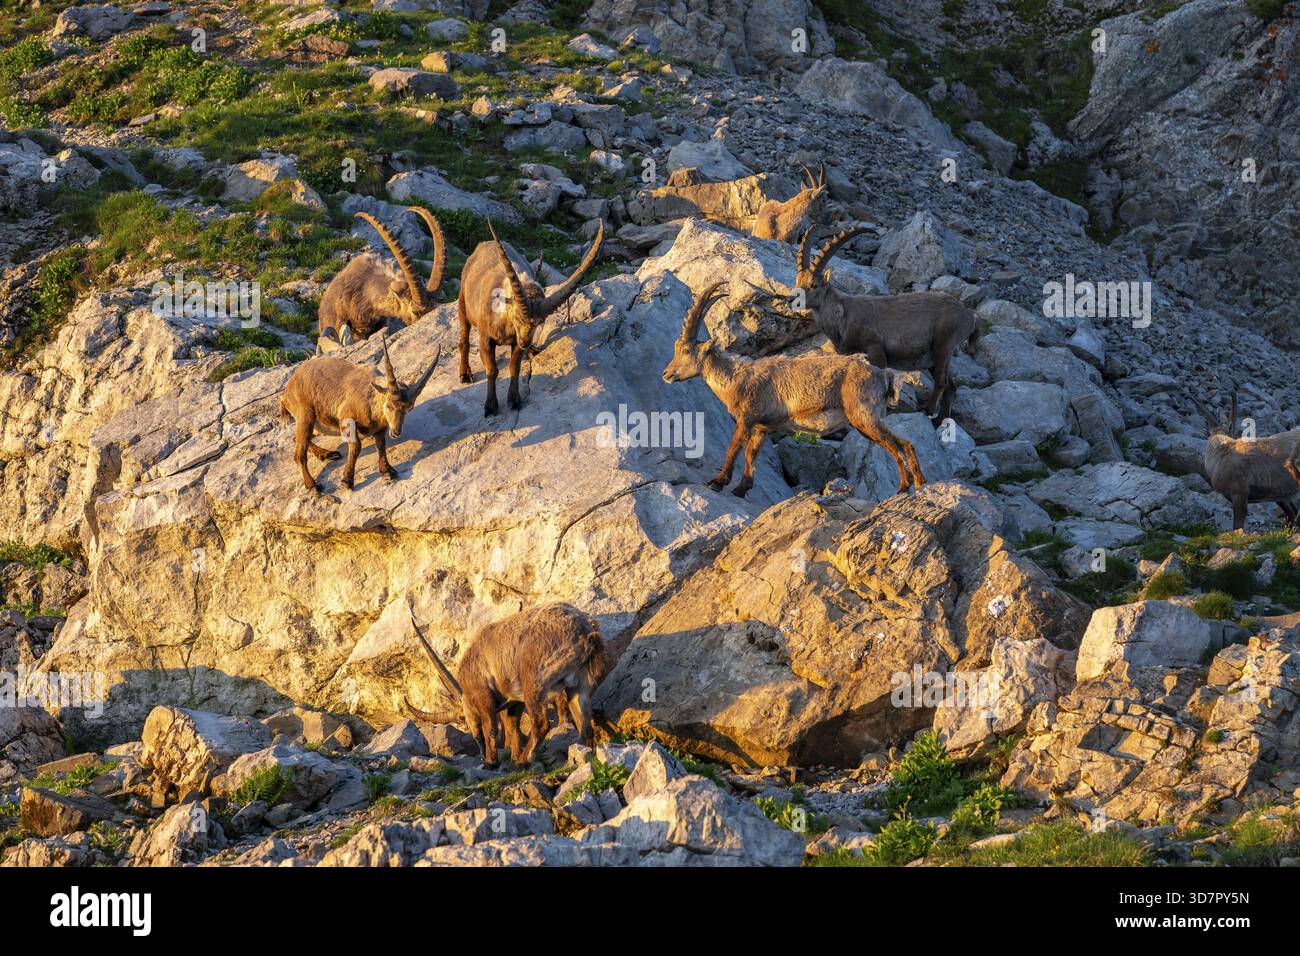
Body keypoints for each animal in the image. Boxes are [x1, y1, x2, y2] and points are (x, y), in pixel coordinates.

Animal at [279, 332, 441, 492]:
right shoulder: (346, 418)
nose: (396, 432)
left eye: (408, 409)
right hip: (306, 414)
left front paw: (387, 470)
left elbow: (381, 444)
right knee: (298, 454)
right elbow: (356, 447)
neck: (371, 401)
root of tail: (286, 392)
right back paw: (312, 485)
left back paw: (327, 454)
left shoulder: (381, 428)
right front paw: (346, 481)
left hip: (317, 426)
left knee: (297, 439)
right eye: (389, 406)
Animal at [404, 604, 605, 766]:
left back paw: (523, 761)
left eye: (462, 718)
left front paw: (491, 761)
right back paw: (582, 752)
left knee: (541, 723)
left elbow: (490, 729)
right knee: (584, 721)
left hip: (534, 682)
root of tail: (585, 632)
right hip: (579, 682)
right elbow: (512, 726)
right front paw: (512, 755)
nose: (481, 756)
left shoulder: (483, 696)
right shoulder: (514, 701)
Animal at [458, 220, 604, 416]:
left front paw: (514, 400)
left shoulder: (516, 342)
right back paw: (465, 374)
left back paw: (532, 350)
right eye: (517, 318)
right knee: (464, 339)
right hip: (462, 305)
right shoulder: (485, 338)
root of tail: (482, 245)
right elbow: (492, 370)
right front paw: (490, 405)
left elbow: (514, 366)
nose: (525, 343)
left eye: (539, 323)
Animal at [663, 282, 925, 497]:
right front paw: (741, 488)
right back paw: (917, 483)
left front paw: (717, 482)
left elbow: (733, 450)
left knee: (899, 444)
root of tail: (883, 376)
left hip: (863, 415)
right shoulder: (763, 427)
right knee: (903, 443)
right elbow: (750, 456)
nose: (666, 374)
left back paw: (906, 486)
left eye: (686, 351)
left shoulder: (746, 418)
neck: (736, 378)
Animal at [752, 227, 977, 421]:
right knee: (951, 387)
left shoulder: (876, 349)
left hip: (943, 345)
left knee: (941, 383)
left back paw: (929, 412)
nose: (792, 300)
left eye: (814, 285)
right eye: (798, 281)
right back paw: (940, 421)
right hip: (933, 358)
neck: (843, 315)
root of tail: (969, 316)